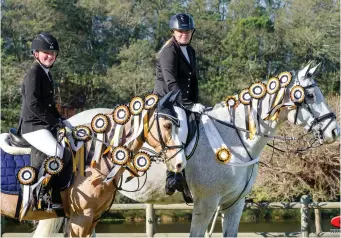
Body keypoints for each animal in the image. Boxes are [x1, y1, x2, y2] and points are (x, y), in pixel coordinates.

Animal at [33, 64, 338, 237]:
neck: (234, 137)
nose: (334, 131)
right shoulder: (206, 204)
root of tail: (69, 123)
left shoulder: (234, 204)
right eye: (310, 95)